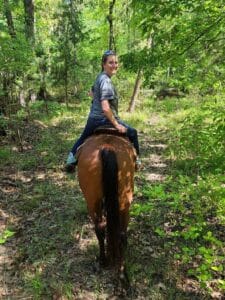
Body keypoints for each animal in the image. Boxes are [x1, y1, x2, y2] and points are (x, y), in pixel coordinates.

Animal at [76, 131, 136, 274]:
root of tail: (107, 147)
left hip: (93, 202)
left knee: (101, 228)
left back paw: (105, 261)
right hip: (123, 202)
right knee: (119, 233)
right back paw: (118, 267)